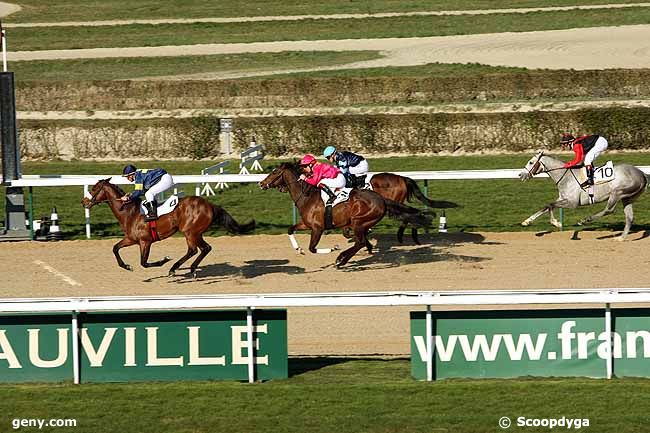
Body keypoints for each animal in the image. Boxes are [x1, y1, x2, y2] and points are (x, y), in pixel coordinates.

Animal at [80, 178, 253, 276]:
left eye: (94, 188)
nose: (84, 202)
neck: (130, 212)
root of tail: (209, 205)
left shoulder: (145, 241)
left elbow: (144, 262)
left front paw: (164, 260)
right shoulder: (131, 239)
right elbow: (115, 248)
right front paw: (127, 266)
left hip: (190, 232)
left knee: (199, 249)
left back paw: (180, 268)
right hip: (194, 232)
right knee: (199, 249)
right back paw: (184, 268)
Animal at [258, 161, 430, 266]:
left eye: (274, 172)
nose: (261, 183)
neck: (307, 196)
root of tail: (381, 199)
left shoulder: (318, 228)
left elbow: (313, 248)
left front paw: (333, 248)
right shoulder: (307, 224)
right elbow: (290, 229)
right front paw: (298, 249)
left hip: (358, 221)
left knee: (360, 241)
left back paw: (341, 259)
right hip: (361, 221)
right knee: (362, 240)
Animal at [516, 152, 644, 240]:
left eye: (531, 162)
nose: (520, 175)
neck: (566, 177)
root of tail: (642, 173)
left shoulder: (572, 203)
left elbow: (551, 204)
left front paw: (556, 223)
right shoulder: (562, 199)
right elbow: (547, 206)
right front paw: (527, 221)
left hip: (617, 193)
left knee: (609, 210)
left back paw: (585, 220)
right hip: (627, 198)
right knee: (629, 217)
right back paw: (621, 238)